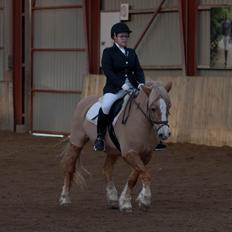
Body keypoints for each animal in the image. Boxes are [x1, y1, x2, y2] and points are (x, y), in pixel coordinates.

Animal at [59, 80, 172, 212]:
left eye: (169, 106)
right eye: (153, 108)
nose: (164, 133)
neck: (140, 122)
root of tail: (84, 100)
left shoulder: (146, 155)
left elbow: (135, 176)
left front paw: (125, 201)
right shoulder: (129, 153)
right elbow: (145, 174)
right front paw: (144, 200)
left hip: (112, 150)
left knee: (107, 169)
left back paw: (112, 199)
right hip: (77, 141)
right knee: (69, 167)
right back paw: (65, 199)